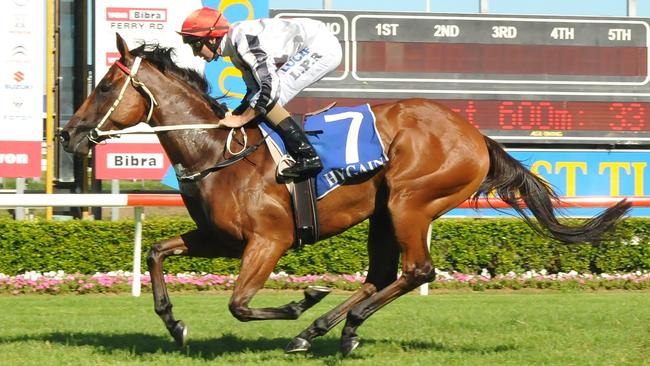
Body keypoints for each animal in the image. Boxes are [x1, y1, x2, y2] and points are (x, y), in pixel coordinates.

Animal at [59, 33, 628, 354]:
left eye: (105, 87)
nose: (68, 134)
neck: (218, 151)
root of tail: (475, 134)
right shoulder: (219, 239)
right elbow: (157, 251)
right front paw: (174, 324)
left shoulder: (269, 241)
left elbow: (240, 304)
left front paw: (299, 300)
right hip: (384, 212)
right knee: (382, 275)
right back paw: (326, 330)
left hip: (409, 202)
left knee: (416, 271)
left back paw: (332, 323)